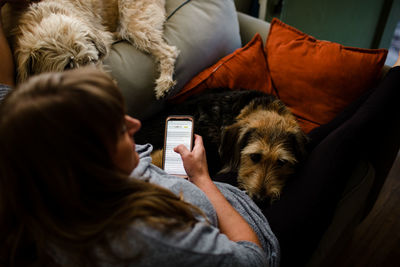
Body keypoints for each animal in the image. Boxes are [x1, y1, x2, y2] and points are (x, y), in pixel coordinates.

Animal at [4, 0, 178, 99]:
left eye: (92, 60)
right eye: (67, 69)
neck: (44, 17)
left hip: (134, 23)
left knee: (169, 51)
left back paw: (164, 83)